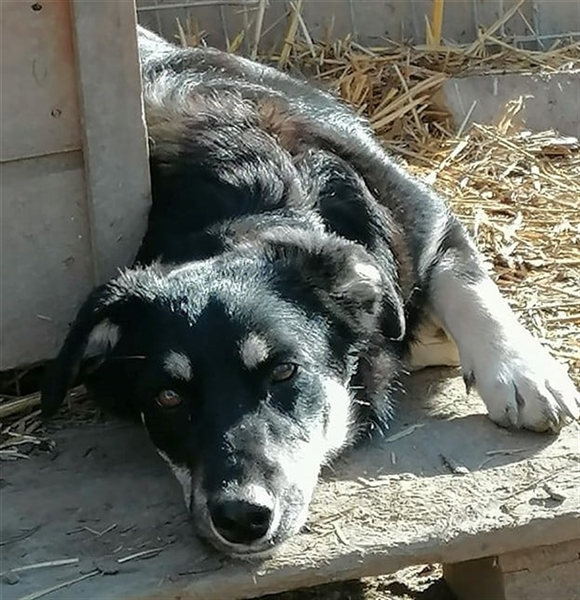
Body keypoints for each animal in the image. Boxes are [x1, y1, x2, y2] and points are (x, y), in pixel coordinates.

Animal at [41, 25, 580, 559]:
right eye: (167, 397)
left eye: (284, 371)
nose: (240, 517)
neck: (255, 196)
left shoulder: (425, 217)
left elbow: (466, 286)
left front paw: (522, 373)